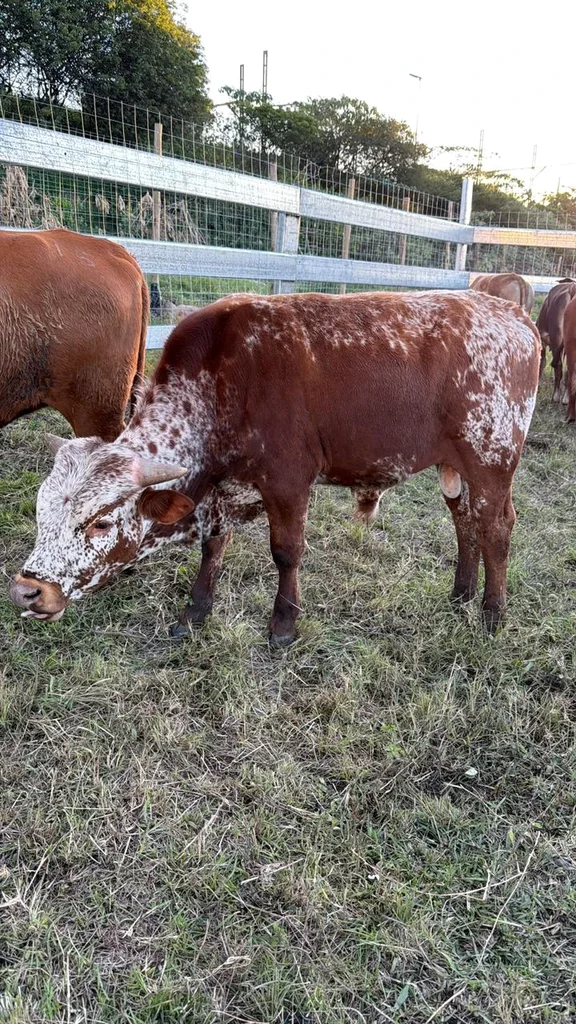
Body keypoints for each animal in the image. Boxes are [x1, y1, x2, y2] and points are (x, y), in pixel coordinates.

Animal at [11, 290, 540, 641]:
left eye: (99, 523)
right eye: (41, 514)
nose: (26, 591)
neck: (222, 380)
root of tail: (510, 311)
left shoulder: (287, 483)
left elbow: (286, 552)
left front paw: (283, 624)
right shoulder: (223, 490)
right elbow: (213, 547)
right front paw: (194, 612)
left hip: (492, 458)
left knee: (495, 527)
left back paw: (492, 614)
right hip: (455, 466)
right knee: (464, 519)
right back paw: (461, 594)